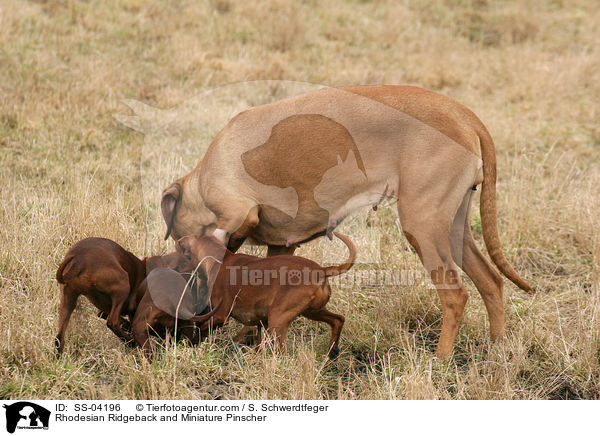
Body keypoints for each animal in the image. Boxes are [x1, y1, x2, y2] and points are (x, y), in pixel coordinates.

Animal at [54, 237, 195, 356]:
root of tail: (79, 260)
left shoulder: (103, 309)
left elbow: (110, 316)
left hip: (68, 300)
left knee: (59, 338)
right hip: (123, 285)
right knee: (112, 322)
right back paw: (130, 342)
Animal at [178, 232, 356, 358]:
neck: (221, 259)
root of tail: (320, 271)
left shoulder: (220, 316)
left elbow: (202, 328)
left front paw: (192, 343)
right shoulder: (261, 322)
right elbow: (258, 344)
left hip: (278, 320)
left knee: (282, 352)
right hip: (313, 312)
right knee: (338, 320)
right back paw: (332, 352)